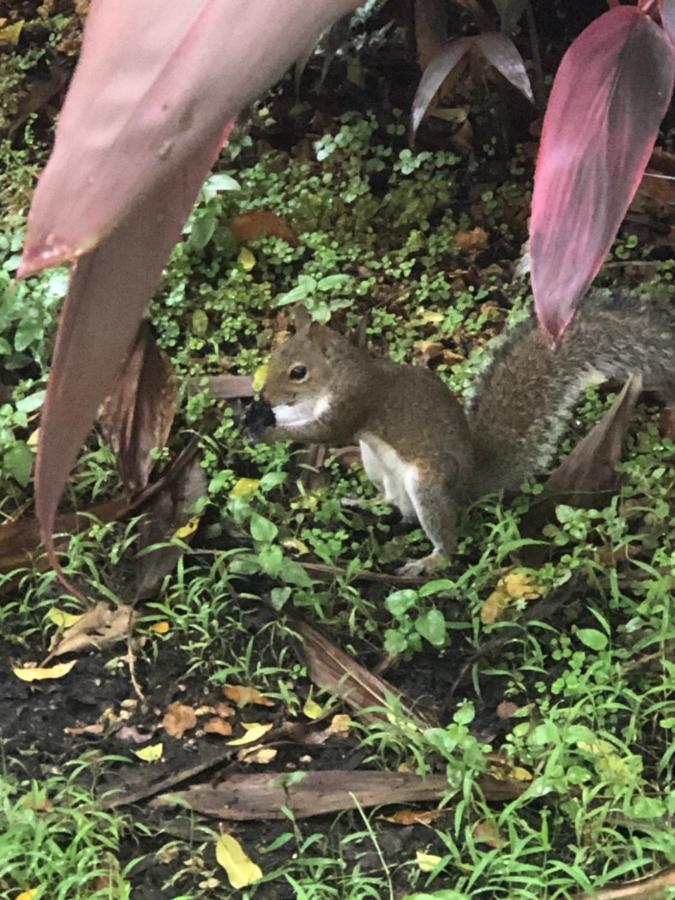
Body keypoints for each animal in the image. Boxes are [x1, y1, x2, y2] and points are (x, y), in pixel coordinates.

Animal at [247, 296, 675, 576]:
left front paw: (269, 431)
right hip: (377, 465)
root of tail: (469, 484)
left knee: (441, 534)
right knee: (393, 503)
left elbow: (324, 430)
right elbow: (305, 418)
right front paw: (257, 416)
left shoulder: (355, 402)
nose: (265, 395)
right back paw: (363, 501)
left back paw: (430, 560)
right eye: (275, 354)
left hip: (427, 484)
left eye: (298, 371)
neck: (340, 374)